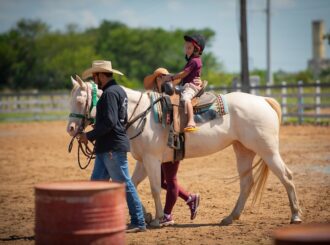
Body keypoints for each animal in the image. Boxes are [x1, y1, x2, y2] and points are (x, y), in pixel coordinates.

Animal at [66, 76, 302, 226]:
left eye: (79, 100)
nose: (70, 128)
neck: (140, 113)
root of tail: (263, 100)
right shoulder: (143, 161)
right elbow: (131, 184)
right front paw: (148, 215)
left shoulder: (152, 160)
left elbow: (154, 188)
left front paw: (158, 219)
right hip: (243, 150)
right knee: (247, 183)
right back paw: (230, 218)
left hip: (267, 151)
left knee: (287, 177)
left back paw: (296, 216)